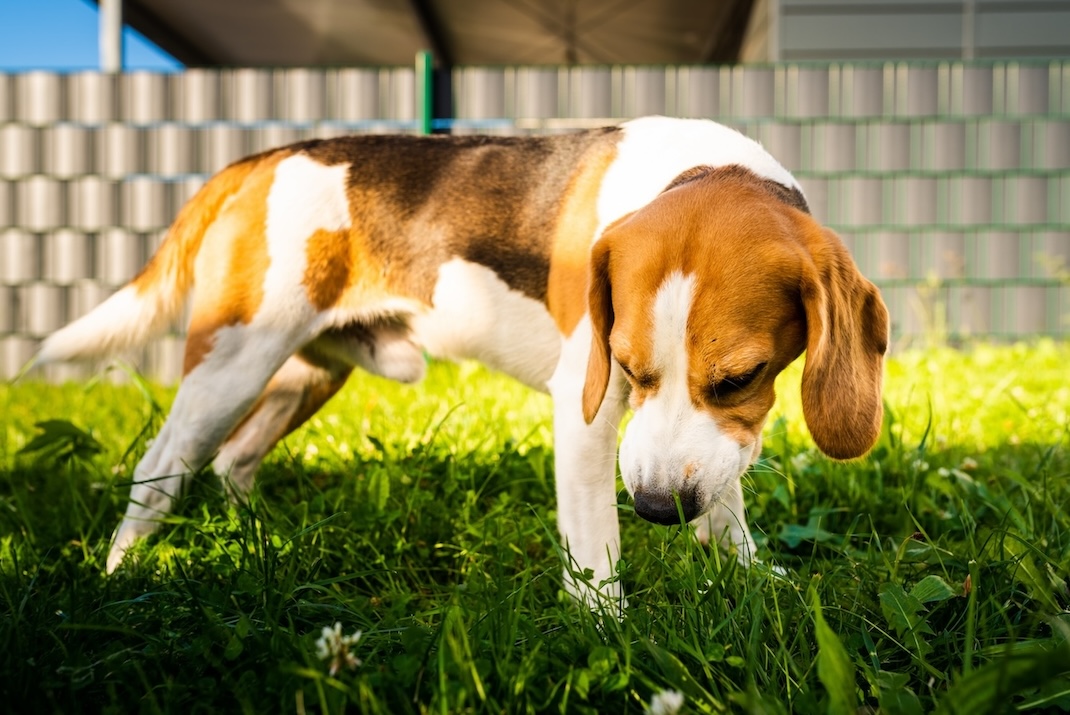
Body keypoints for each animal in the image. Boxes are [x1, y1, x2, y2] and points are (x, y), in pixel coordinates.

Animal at [35, 117, 885, 607]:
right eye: (627, 365)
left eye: (740, 379)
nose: (655, 510)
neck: (702, 170)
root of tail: (261, 159)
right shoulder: (586, 410)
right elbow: (596, 546)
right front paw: (609, 633)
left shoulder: (709, 441)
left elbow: (724, 496)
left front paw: (747, 574)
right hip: (232, 362)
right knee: (161, 466)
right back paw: (122, 573)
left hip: (307, 372)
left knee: (234, 459)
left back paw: (261, 542)